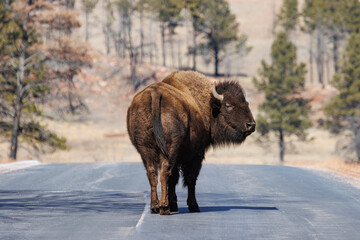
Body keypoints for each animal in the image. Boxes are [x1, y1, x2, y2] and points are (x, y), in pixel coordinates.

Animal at [127, 70, 256, 215]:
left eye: (247, 103)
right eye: (228, 105)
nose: (251, 125)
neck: (207, 105)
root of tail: (155, 94)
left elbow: (174, 179)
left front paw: (174, 204)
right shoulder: (196, 155)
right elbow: (190, 179)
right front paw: (193, 206)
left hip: (146, 149)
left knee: (152, 173)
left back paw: (155, 207)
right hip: (169, 149)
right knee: (165, 173)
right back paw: (164, 207)